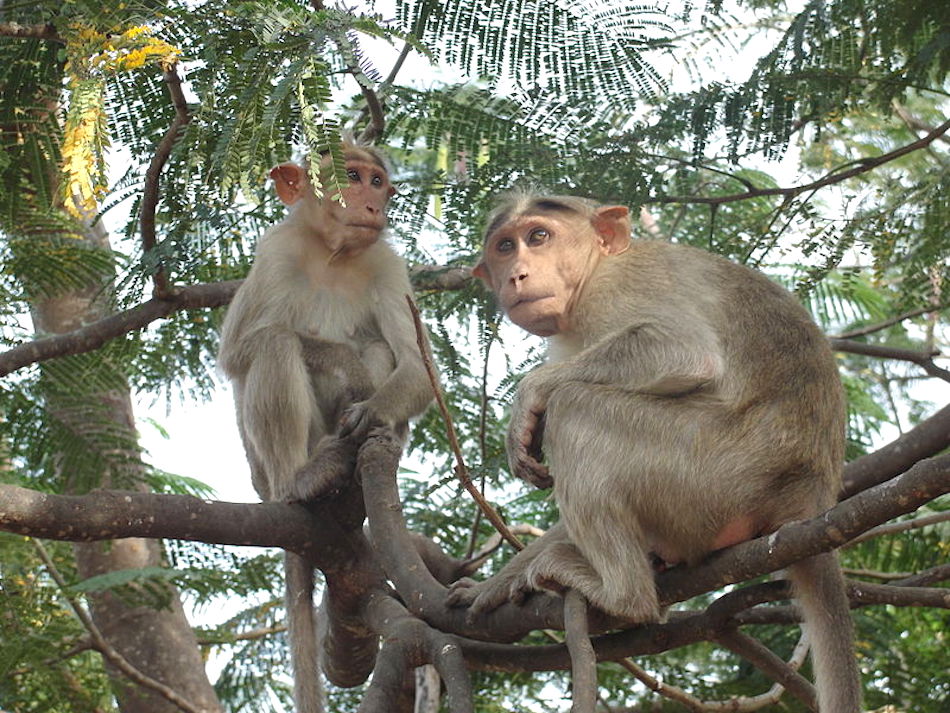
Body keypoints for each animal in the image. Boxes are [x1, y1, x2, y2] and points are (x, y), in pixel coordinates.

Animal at [219, 143, 432, 712]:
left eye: (377, 181)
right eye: (352, 176)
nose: (373, 204)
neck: (335, 256)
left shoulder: (387, 264)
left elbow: (417, 367)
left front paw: (371, 411)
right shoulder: (276, 250)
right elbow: (237, 352)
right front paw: (346, 365)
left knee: (380, 347)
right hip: (262, 470)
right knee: (274, 343)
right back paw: (306, 478)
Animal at [450, 189, 868, 712]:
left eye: (539, 236)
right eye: (505, 247)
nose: (516, 275)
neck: (595, 270)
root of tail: (808, 493)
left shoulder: (618, 291)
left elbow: (682, 350)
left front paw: (529, 395)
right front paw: (494, 585)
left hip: (711, 472)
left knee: (575, 410)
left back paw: (623, 596)